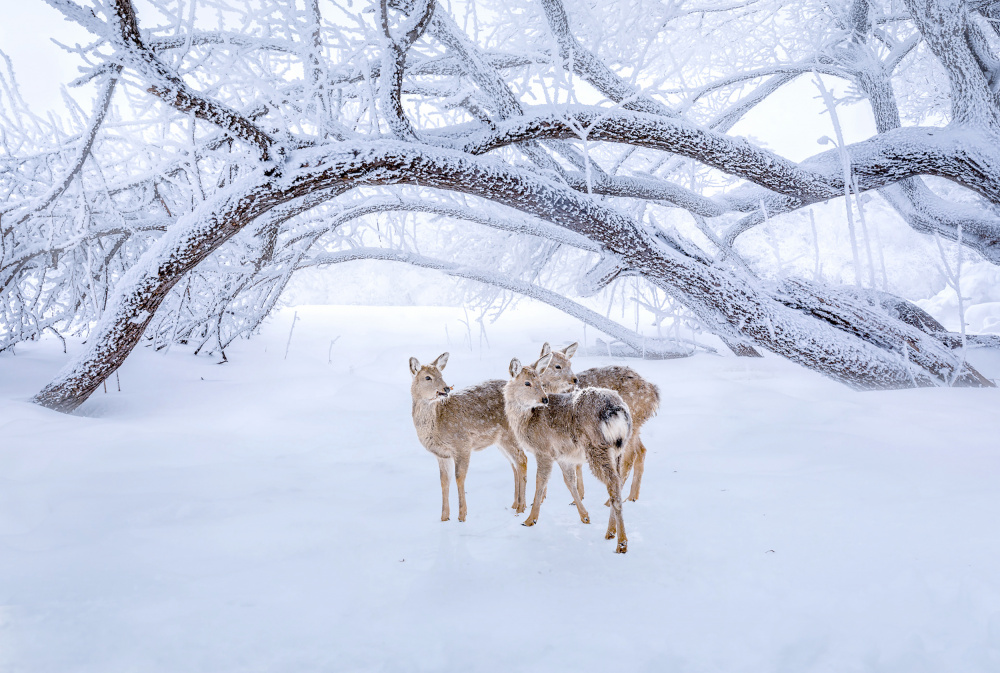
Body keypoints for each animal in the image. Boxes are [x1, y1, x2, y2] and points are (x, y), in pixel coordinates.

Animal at [408, 354, 532, 524]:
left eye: (441, 374)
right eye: (428, 377)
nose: (446, 388)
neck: (438, 421)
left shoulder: (462, 444)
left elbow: (459, 478)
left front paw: (462, 516)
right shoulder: (441, 454)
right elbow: (444, 481)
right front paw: (444, 517)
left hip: (510, 434)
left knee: (522, 460)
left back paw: (521, 508)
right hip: (500, 441)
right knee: (514, 464)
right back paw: (515, 504)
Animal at [504, 352, 636, 552]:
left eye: (540, 382)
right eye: (527, 383)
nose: (544, 399)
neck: (527, 419)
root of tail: (616, 410)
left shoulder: (544, 450)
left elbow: (540, 482)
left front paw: (530, 519)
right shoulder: (563, 455)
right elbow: (569, 482)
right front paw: (585, 516)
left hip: (597, 446)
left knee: (613, 483)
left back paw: (621, 543)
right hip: (619, 448)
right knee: (618, 481)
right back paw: (610, 532)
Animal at [540, 344, 656, 502]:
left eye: (570, 363)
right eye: (557, 365)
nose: (574, 380)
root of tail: (654, 394)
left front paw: (578, 496)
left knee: (629, 457)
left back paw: (611, 501)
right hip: (635, 426)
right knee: (641, 451)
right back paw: (632, 497)